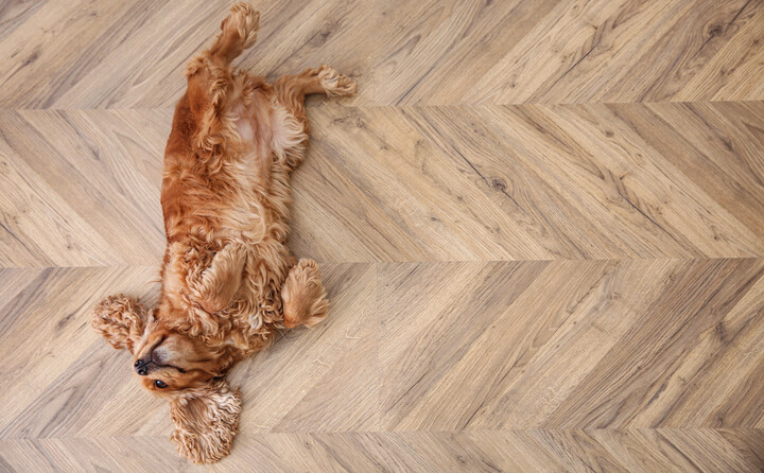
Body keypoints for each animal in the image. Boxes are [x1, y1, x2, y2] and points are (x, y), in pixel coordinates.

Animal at [89, 2, 356, 460]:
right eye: (158, 383)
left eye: (146, 358)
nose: (140, 362)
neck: (215, 334)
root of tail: (245, 99)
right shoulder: (268, 294)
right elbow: (291, 313)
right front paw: (303, 281)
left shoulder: (189, 253)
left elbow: (209, 290)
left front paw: (232, 260)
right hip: (290, 132)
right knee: (291, 84)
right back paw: (327, 81)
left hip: (205, 106)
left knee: (205, 61)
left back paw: (240, 26)